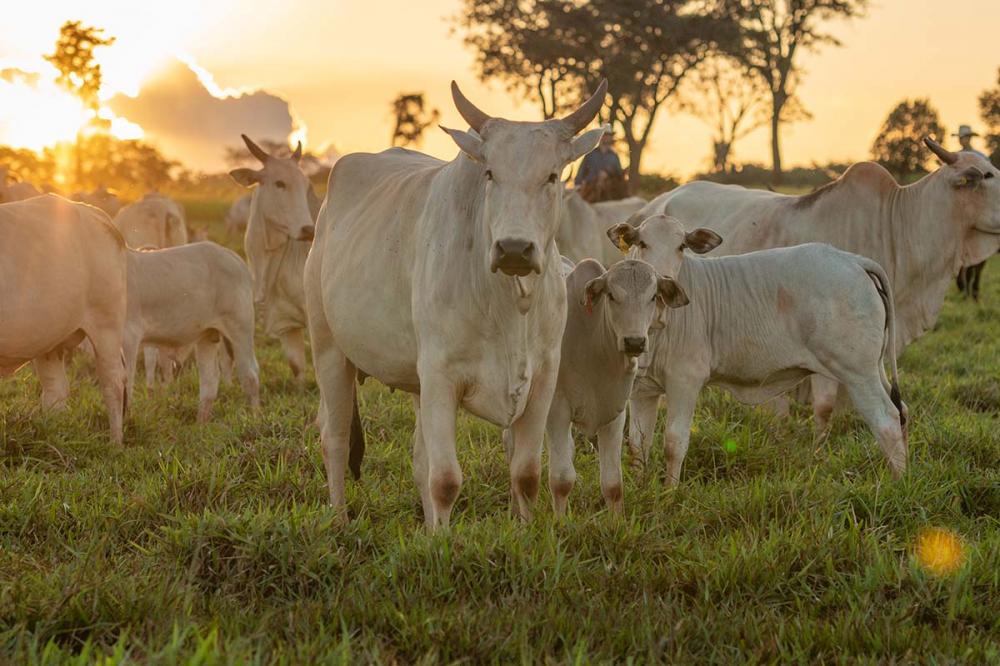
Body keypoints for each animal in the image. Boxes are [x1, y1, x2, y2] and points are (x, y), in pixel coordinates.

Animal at [0, 195, 127, 443]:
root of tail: (93, 212)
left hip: (107, 325)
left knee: (113, 384)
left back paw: (115, 443)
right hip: (50, 338)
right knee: (55, 392)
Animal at [304, 80, 609, 528]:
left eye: (553, 175)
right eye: (490, 173)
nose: (514, 249)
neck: (510, 301)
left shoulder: (542, 381)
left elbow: (526, 474)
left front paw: (521, 531)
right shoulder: (441, 376)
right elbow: (446, 480)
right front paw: (443, 540)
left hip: (415, 380)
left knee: (418, 458)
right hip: (329, 348)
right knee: (336, 439)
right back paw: (341, 519)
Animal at [507, 257, 688, 515]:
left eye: (654, 296)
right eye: (611, 295)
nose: (634, 342)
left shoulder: (615, 412)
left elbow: (613, 484)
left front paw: (617, 521)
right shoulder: (557, 412)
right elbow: (562, 480)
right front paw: (560, 521)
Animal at [615, 215, 908, 483]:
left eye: (681, 246)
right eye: (642, 243)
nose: (663, 280)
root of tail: (853, 260)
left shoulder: (685, 380)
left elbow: (673, 444)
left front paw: (670, 493)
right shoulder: (642, 391)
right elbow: (638, 445)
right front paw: (642, 489)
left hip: (857, 372)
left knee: (887, 420)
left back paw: (899, 482)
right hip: (873, 368)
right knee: (902, 410)